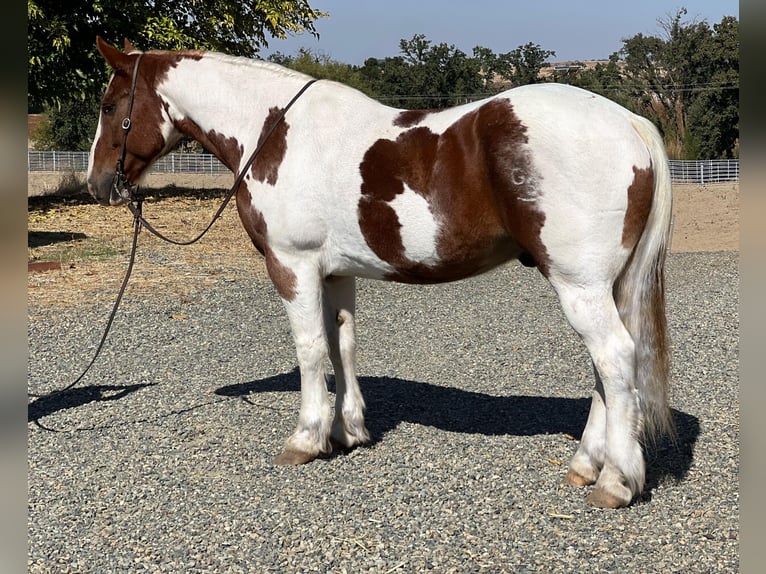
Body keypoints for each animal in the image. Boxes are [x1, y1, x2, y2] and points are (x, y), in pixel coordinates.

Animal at [88, 37, 672, 508]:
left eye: (110, 105)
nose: (97, 184)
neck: (272, 132)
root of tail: (629, 122)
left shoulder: (292, 265)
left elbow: (309, 350)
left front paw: (306, 439)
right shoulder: (335, 273)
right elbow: (341, 345)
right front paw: (347, 431)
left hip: (579, 285)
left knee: (615, 358)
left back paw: (616, 482)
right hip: (599, 286)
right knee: (605, 370)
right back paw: (586, 466)